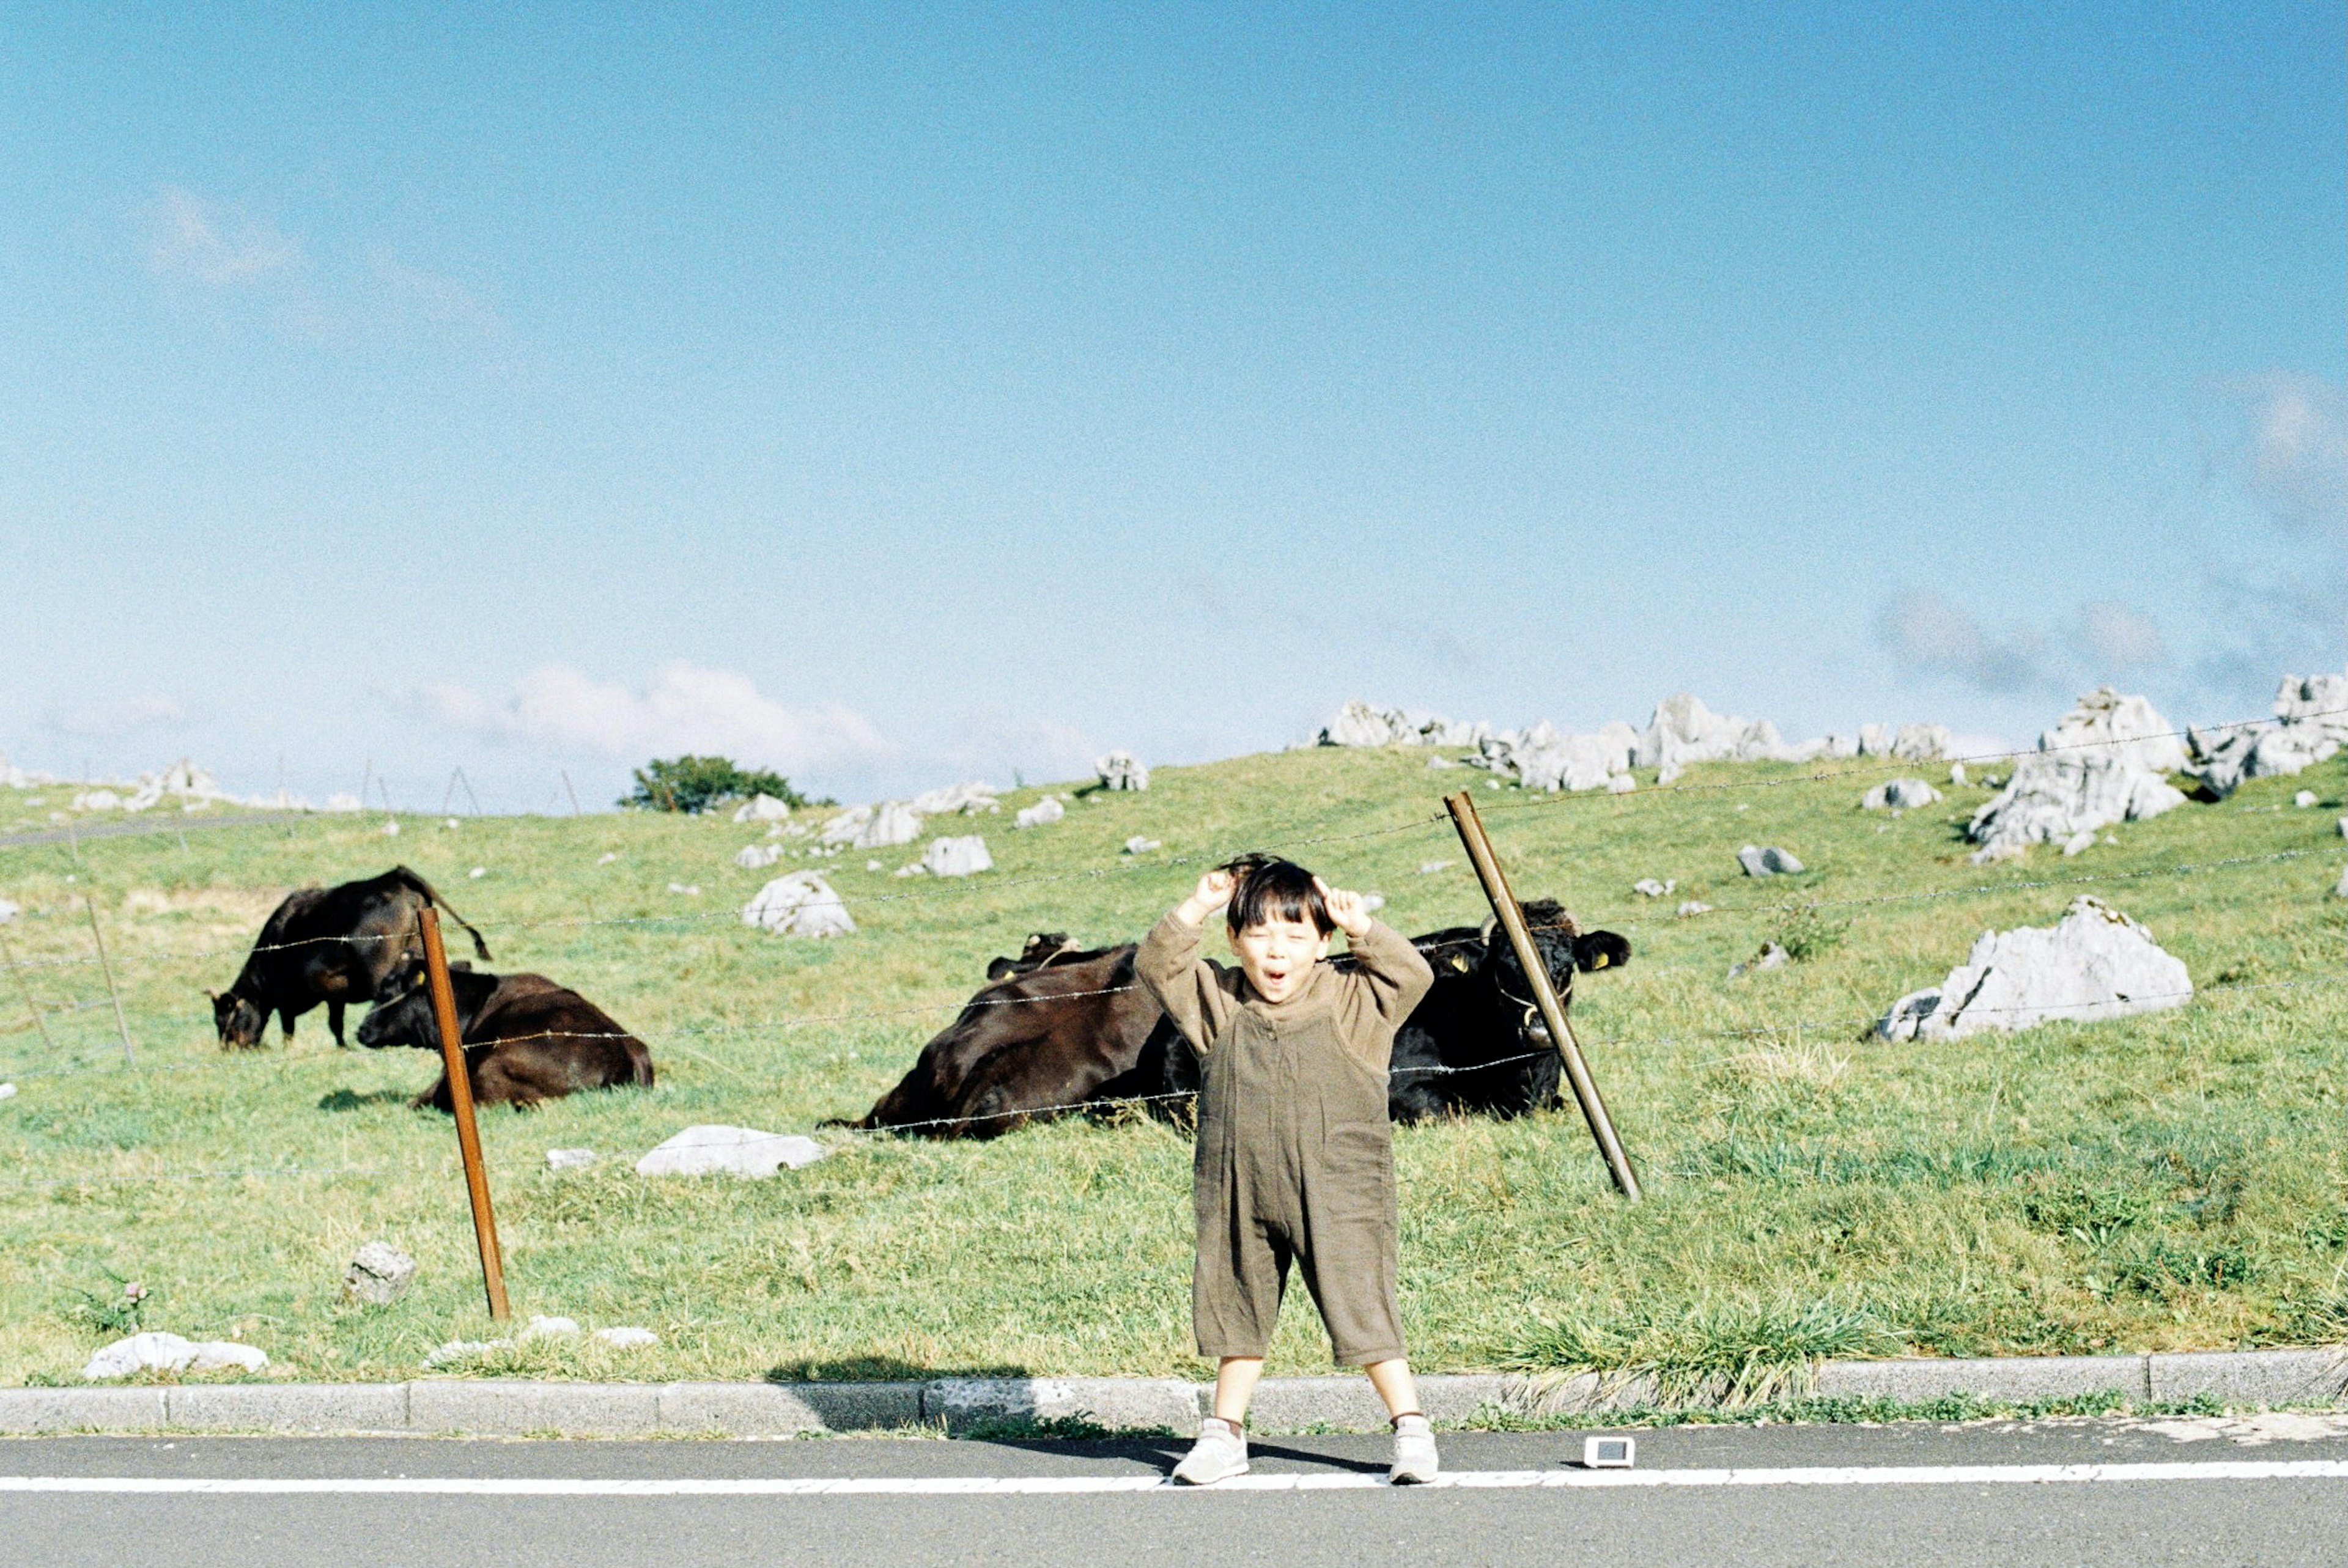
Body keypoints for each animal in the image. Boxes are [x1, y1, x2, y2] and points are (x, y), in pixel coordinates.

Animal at [209, 864, 488, 1047]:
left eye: (223, 1020)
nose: (229, 1049)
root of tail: (393, 876)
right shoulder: (334, 993)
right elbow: (336, 1024)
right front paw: (343, 1049)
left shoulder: (284, 996)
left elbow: (288, 1029)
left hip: (381, 967)